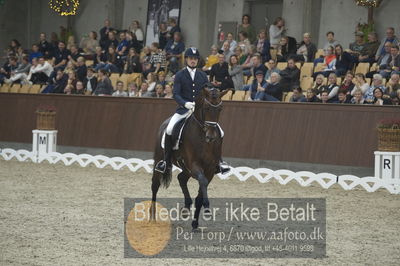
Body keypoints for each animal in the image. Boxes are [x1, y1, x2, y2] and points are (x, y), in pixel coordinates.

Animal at [152, 86, 230, 230]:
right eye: (206, 107)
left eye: (220, 108)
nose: (211, 136)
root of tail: (165, 123)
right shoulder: (195, 165)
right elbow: (203, 182)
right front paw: (207, 208)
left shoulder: (210, 170)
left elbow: (200, 193)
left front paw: (195, 223)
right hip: (161, 161)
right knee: (155, 186)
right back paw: (152, 217)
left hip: (186, 169)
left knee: (181, 178)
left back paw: (186, 207)